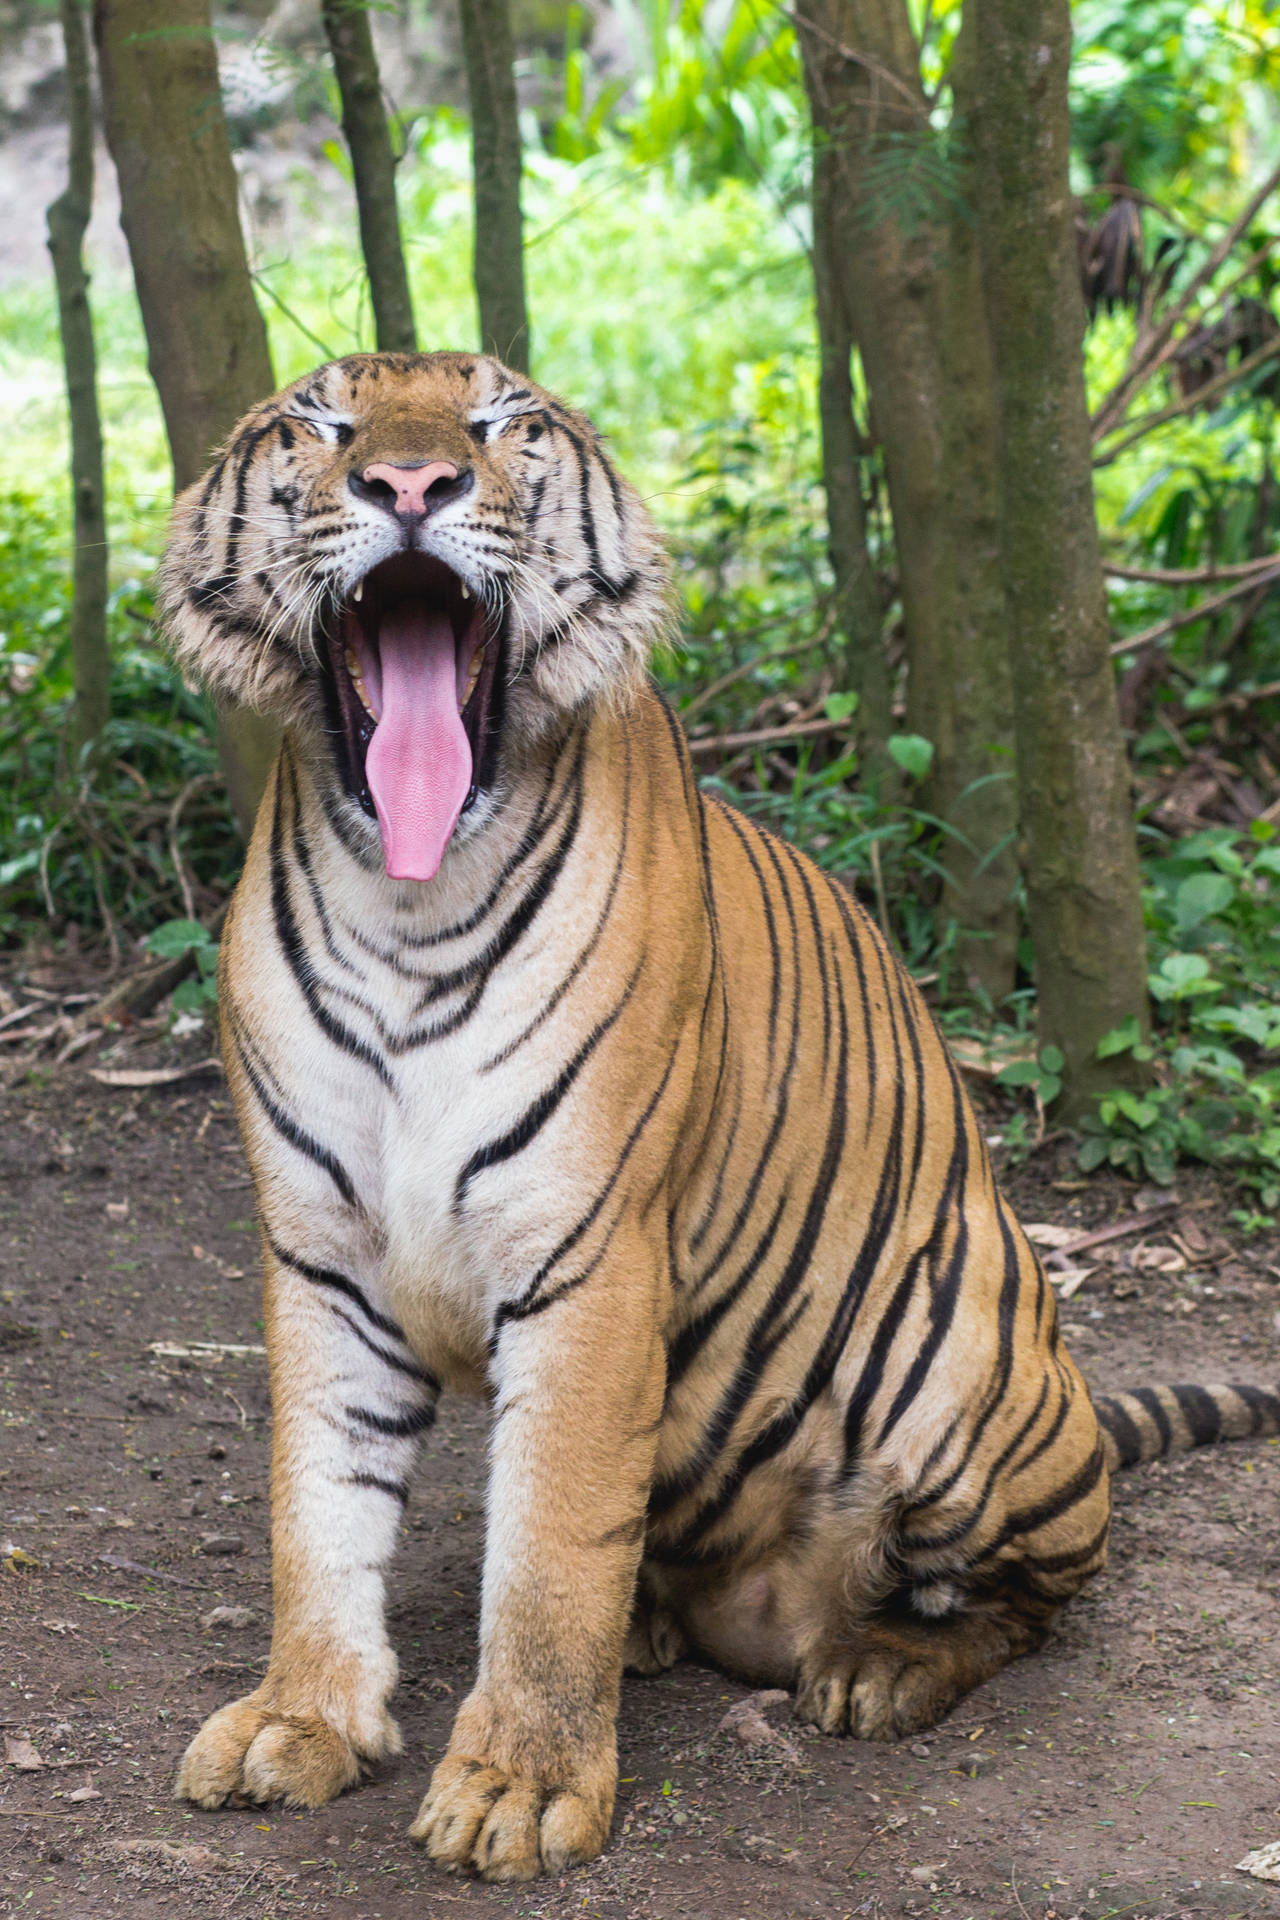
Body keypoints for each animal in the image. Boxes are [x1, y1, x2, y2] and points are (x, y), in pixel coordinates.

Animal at [158, 350, 1280, 1883]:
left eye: (498, 424)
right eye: (325, 424)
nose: (409, 484)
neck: (407, 900)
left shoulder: (588, 1255)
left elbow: (553, 1544)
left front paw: (518, 1789)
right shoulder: (319, 1251)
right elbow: (317, 1506)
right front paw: (301, 1721)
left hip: (962, 1369)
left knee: (1033, 1599)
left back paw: (875, 1667)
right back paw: (660, 1627)